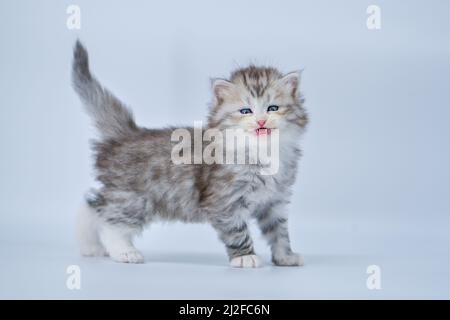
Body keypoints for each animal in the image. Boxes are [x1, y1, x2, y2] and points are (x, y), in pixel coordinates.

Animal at [72, 40, 308, 268]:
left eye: (272, 108)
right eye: (245, 111)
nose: (261, 121)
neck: (264, 152)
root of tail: (128, 133)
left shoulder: (275, 201)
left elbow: (279, 232)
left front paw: (285, 257)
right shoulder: (225, 201)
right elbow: (237, 232)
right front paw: (245, 257)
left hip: (123, 195)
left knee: (93, 206)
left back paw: (90, 246)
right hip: (134, 199)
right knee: (108, 222)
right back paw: (124, 251)